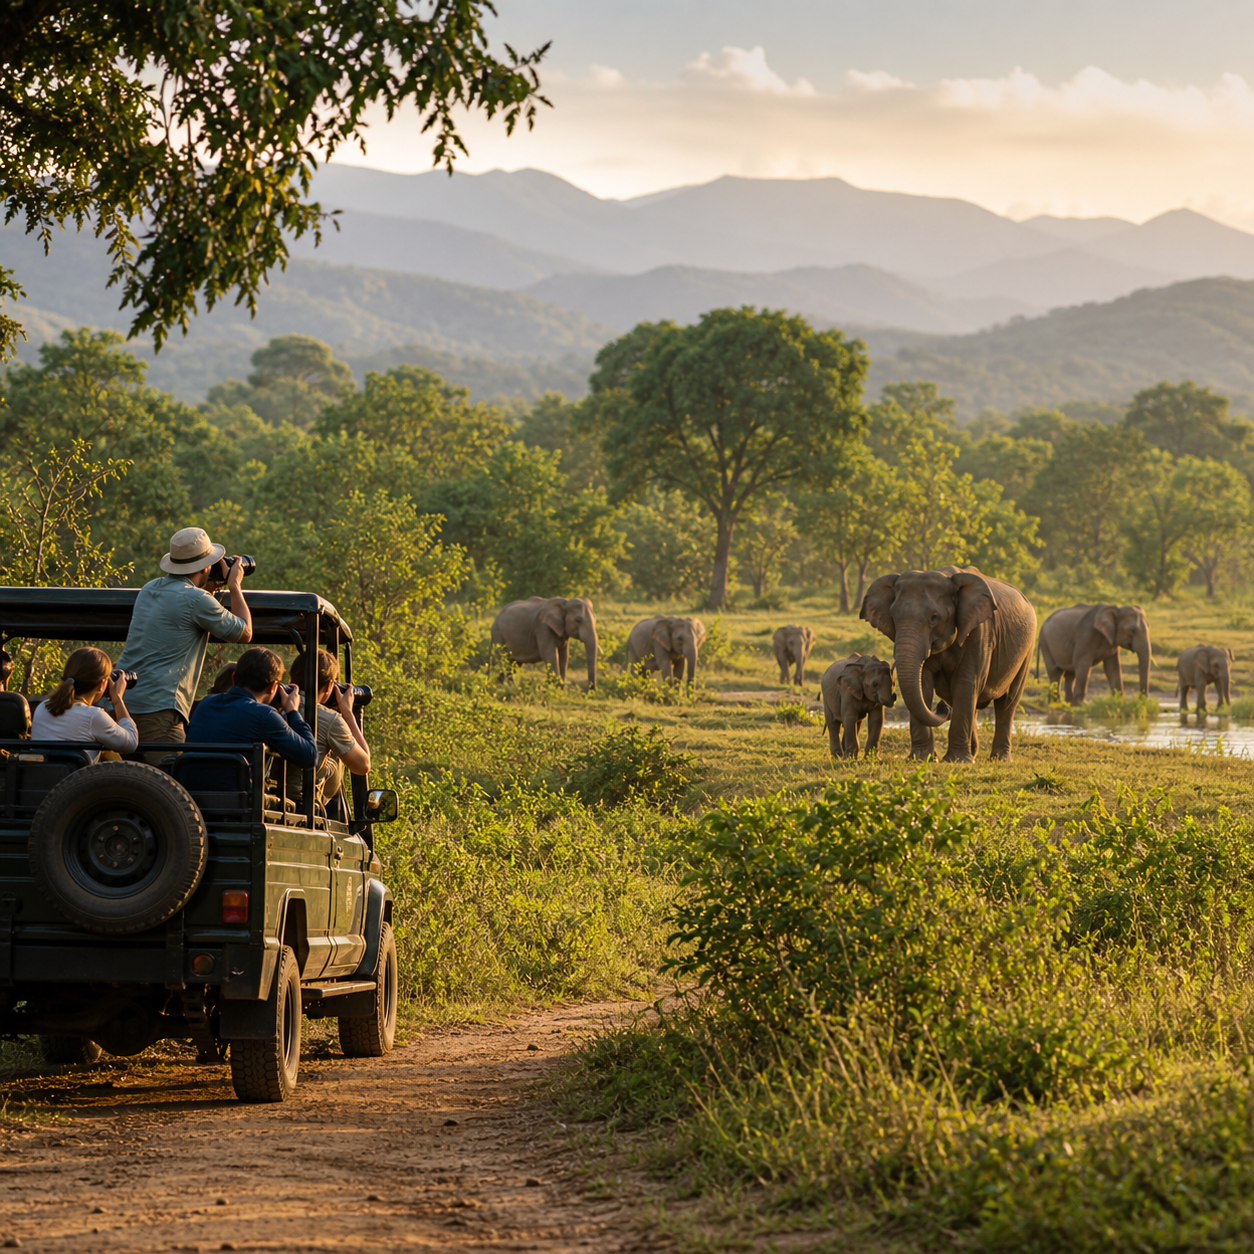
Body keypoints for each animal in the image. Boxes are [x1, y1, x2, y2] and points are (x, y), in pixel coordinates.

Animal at [860, 565, 1037, 763]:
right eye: (893, 617)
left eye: (934, 617)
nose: (941, 707)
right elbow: (923, 684)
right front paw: (922, 758)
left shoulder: (980, 633)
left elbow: (965, 683)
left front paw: (956, 761)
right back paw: (973, 753)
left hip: (1027, 651)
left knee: (1006, 703)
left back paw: (999, 759)